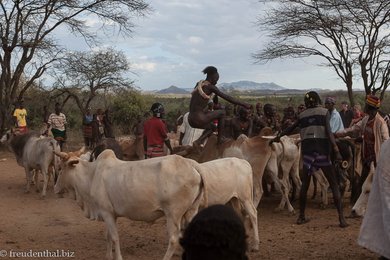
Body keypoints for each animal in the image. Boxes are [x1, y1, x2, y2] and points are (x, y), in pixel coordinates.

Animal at [54, 149, 204, 260]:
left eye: (60, 168)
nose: (55, 189)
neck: (91, 176)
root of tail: (191, 164)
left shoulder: (106, 212)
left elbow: (114, 237)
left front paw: (117, 257)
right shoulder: (109, 214)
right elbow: (108, 236)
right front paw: (108, 256)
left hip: (173, 214)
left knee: (173, 239)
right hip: (191, 211)